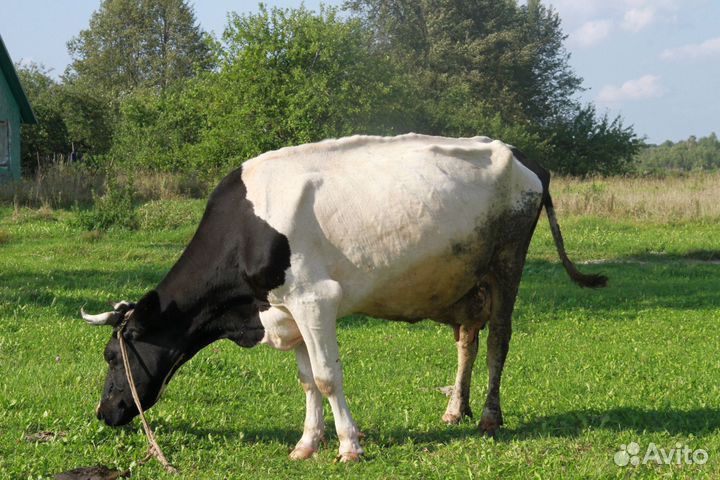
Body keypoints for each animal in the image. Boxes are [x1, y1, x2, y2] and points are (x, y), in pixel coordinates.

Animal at [81, 134, 606, 462]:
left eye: (112, 356)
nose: (105, 413)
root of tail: (520, 154)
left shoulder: (315, 299)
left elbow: (328, 377)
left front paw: (349, 445)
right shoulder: (285, 310)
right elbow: (307, 381)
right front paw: (306, 444)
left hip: (506, 264)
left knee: (498, 339)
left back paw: (490, 418)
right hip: (466, 280)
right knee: (467, 341)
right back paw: (455, 409)